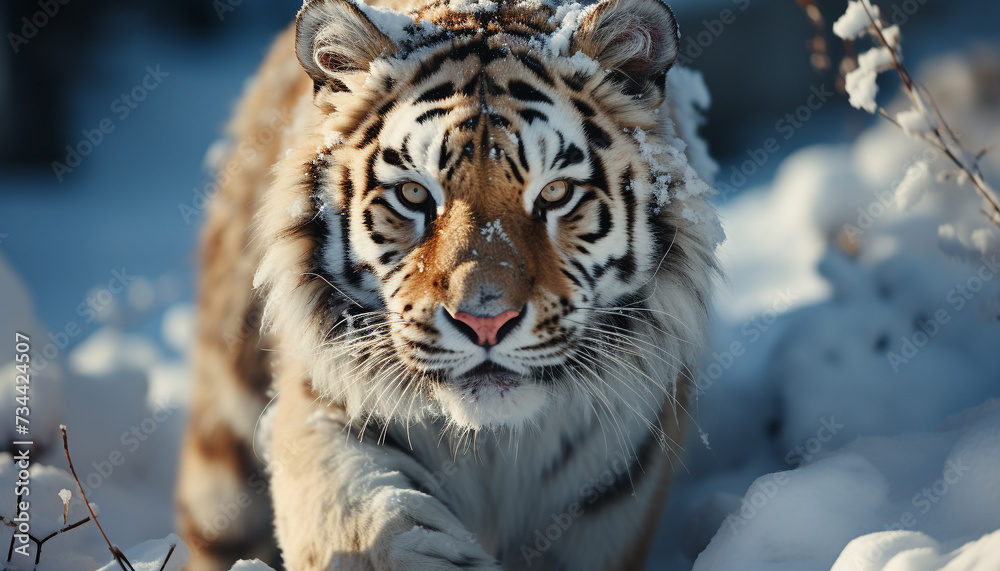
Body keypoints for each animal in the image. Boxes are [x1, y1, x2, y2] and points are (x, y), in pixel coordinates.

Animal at [174, 0, 721, 569]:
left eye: (556, 193)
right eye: (414, 194)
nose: (485, 322)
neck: (493, 444)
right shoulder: (323, 406)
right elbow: (363, 519)